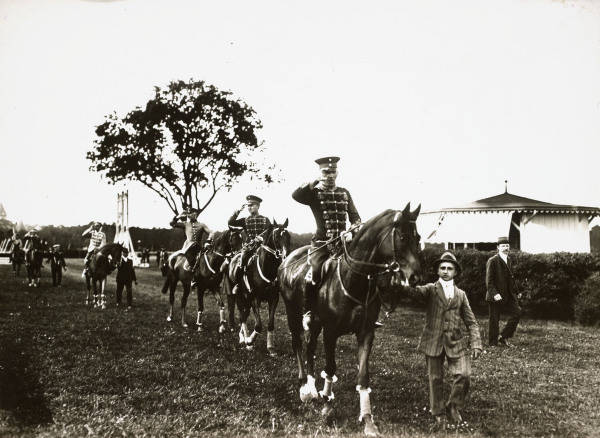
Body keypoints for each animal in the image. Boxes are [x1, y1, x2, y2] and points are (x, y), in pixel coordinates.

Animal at [227, 217, 290, 354]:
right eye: (276, 236)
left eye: (288, 236)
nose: (285, 256)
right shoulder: (256, 298)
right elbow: (258, 325)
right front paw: (250, 341)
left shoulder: (274, 298)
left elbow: (270, 324)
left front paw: (270, 347)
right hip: (241, 297)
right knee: (242, 317)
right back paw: (244, 340)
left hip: (247, 300)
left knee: (244, 316)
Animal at [278, 204, 422, 434]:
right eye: (402, 237)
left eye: (418, 237)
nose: (416, 277)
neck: (354, 279)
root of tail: (288, 259)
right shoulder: (330, 332)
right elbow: (330, 368)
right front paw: (328, 407)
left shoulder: (366, 333)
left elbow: (363, 376)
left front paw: (368, 420)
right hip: (293, 313)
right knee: (298, 344)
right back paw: (304, 388)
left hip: (315, 323)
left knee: (309, 347)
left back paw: (312, 386)